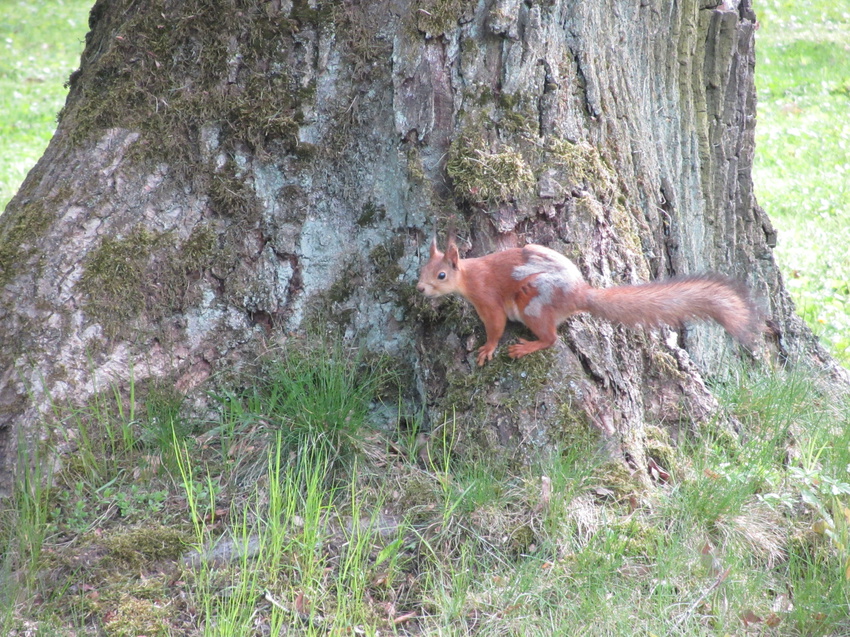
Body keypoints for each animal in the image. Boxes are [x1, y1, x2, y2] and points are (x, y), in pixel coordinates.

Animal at [416, 235, 756, 366]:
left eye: (441, 275)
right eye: (422, 269)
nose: (419, 288)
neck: (469, 277)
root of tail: (579, 293)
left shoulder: (488, 299)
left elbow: (496, 326)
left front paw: (488, 349)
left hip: (533, 302)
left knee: (551, 338)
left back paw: (527, 347)